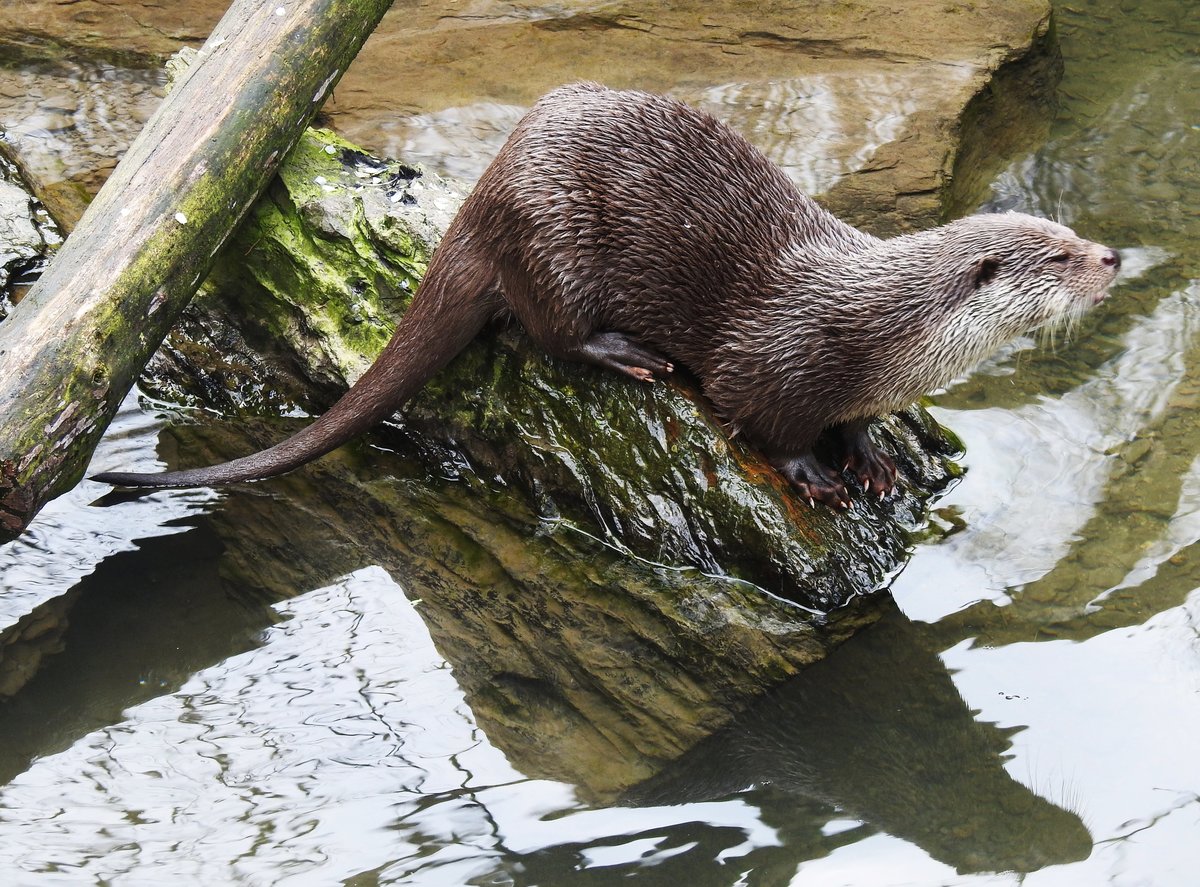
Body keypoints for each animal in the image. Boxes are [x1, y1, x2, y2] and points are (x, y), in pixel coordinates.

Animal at [88, 87, 1118, 508]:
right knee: (547, 331)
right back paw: (629, 355)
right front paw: (819, 474)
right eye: (1058, 255)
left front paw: (869, 459)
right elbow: (761, 418)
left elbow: (860, 422)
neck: (881, 332)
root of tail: (487, 191)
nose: (1111, 253)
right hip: (557, 236)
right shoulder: (778, 358)